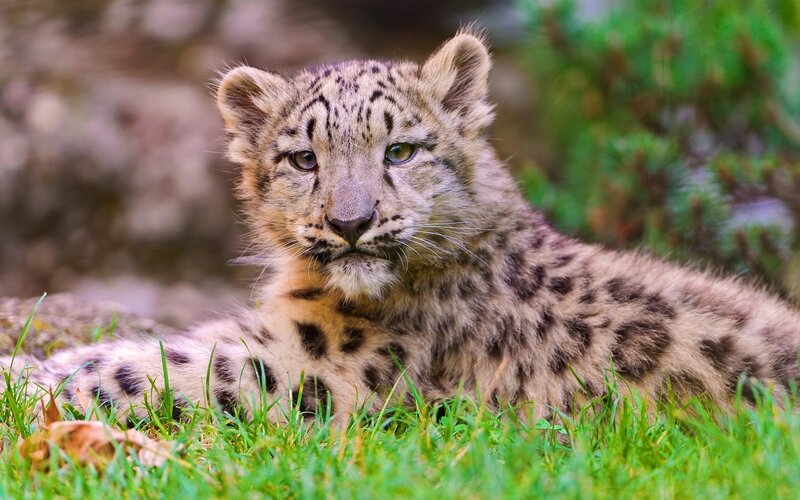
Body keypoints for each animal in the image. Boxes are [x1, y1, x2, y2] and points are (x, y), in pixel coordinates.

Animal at [3, 29, 800, 425]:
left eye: (400, 151)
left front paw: (25, 378)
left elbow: (158, 367)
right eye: (303, 158)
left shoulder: (318, 366)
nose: (351, 221)